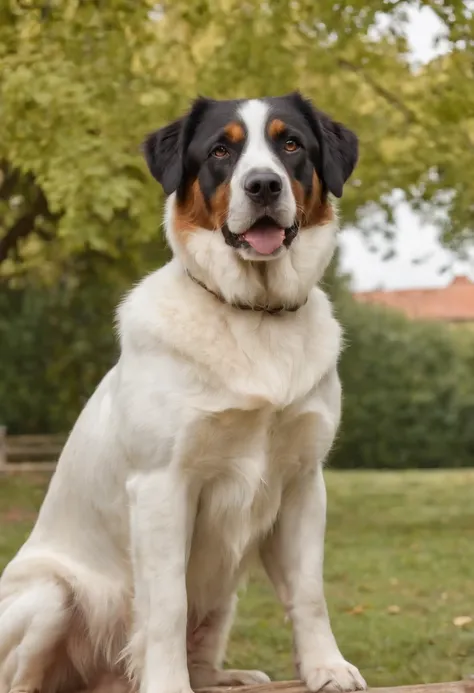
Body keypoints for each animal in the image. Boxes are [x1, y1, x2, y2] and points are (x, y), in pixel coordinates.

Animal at [0, 90, 366, 692]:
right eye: (221, 149)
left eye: (291, 144)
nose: (263, 186)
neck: (252, 313)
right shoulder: (162, 486)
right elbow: (167, 603)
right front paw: (168, 684)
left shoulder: (302, 484)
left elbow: (309, 592)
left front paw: (326, 667)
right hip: (51, 594)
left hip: (224, 596)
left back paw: (228, 676)